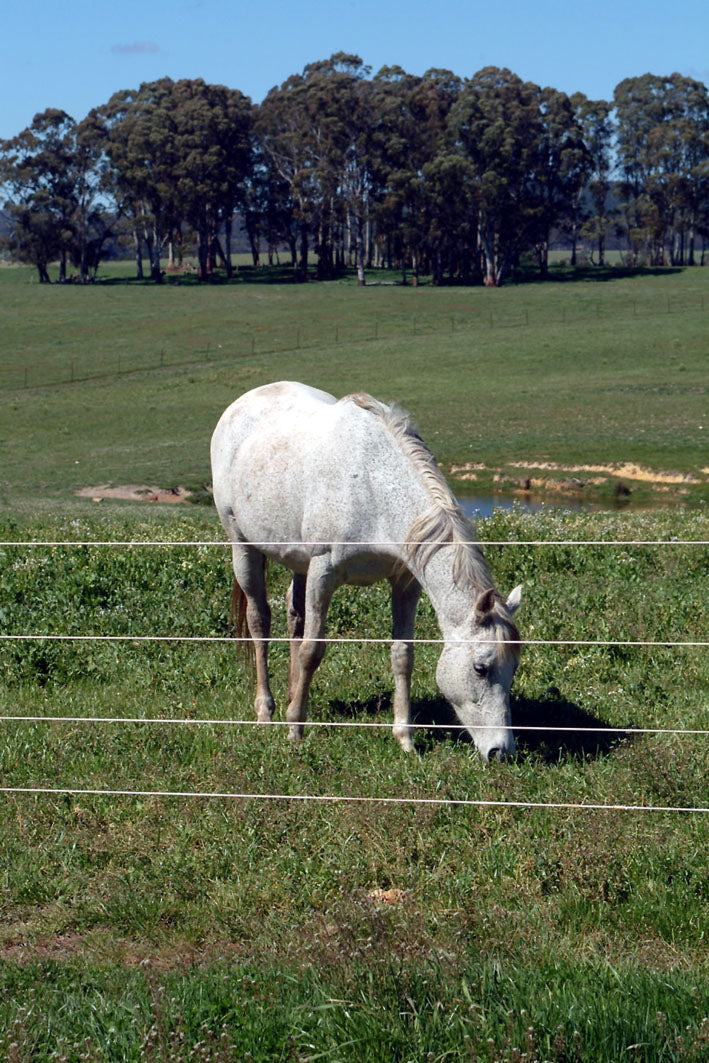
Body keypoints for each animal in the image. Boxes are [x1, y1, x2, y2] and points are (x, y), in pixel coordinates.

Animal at [210, 381, 522, 761]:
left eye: (513, 668)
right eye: (481, 668)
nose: (501, 751)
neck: (373, 487)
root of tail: (239, 404)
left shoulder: (404, 582)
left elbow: (403, 655)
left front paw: (405, 738)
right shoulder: (323, 573)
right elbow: (312, 651)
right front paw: (295, 730)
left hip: (298, 561)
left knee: (294, 615)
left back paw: (290, 696)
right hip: (242, 546)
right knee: (259, 621)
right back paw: (266, 712)